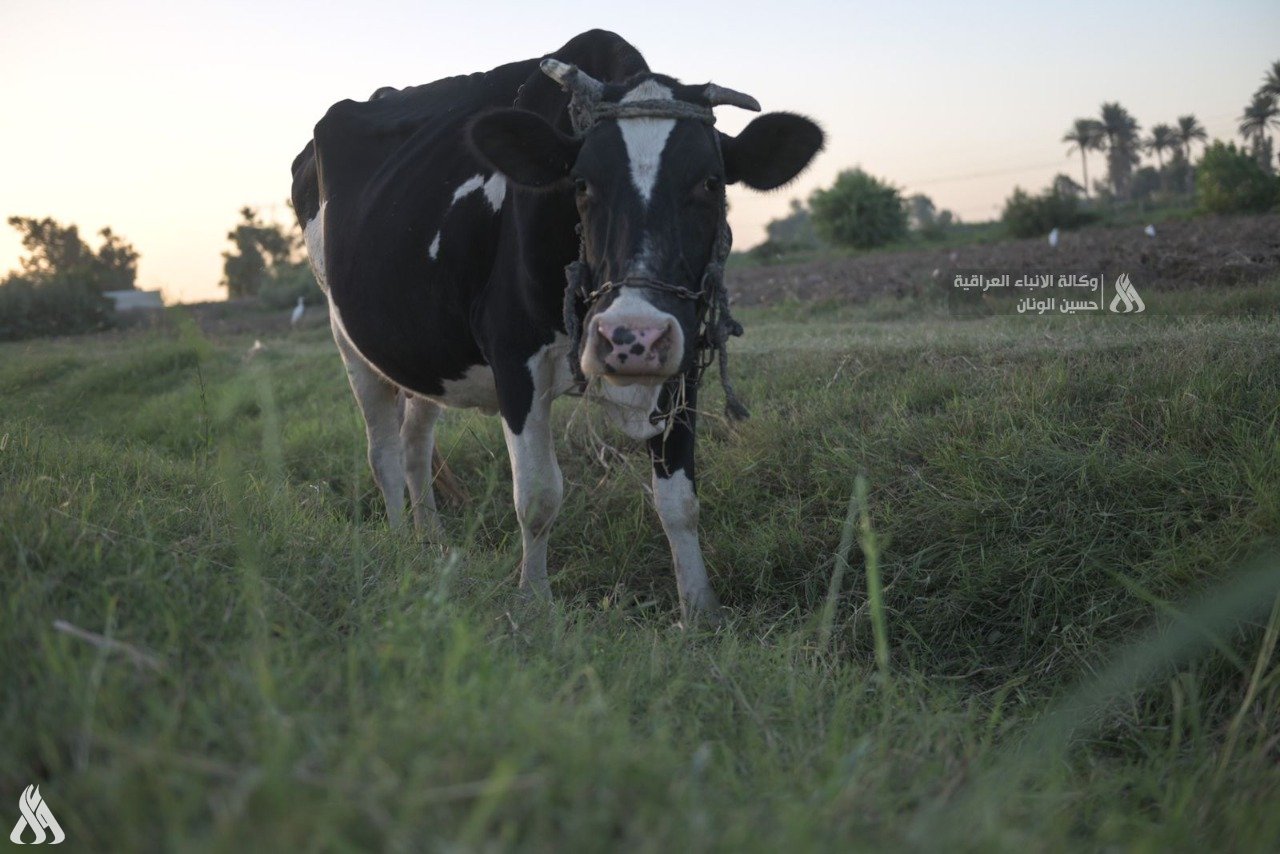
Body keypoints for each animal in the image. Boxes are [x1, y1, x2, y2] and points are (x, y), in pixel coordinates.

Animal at [293, 31, 819, 622]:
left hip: (426, 352)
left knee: (413, 444)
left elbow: (680, 501)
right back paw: (401, 544)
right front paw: (533, 606)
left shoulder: (683, 360)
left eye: (711, 182)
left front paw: (701, 613)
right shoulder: (513, 356)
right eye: (581, 184)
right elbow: (538, 496)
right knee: (381, 452)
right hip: (349, 340)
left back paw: (430, 543)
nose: (632, 337)